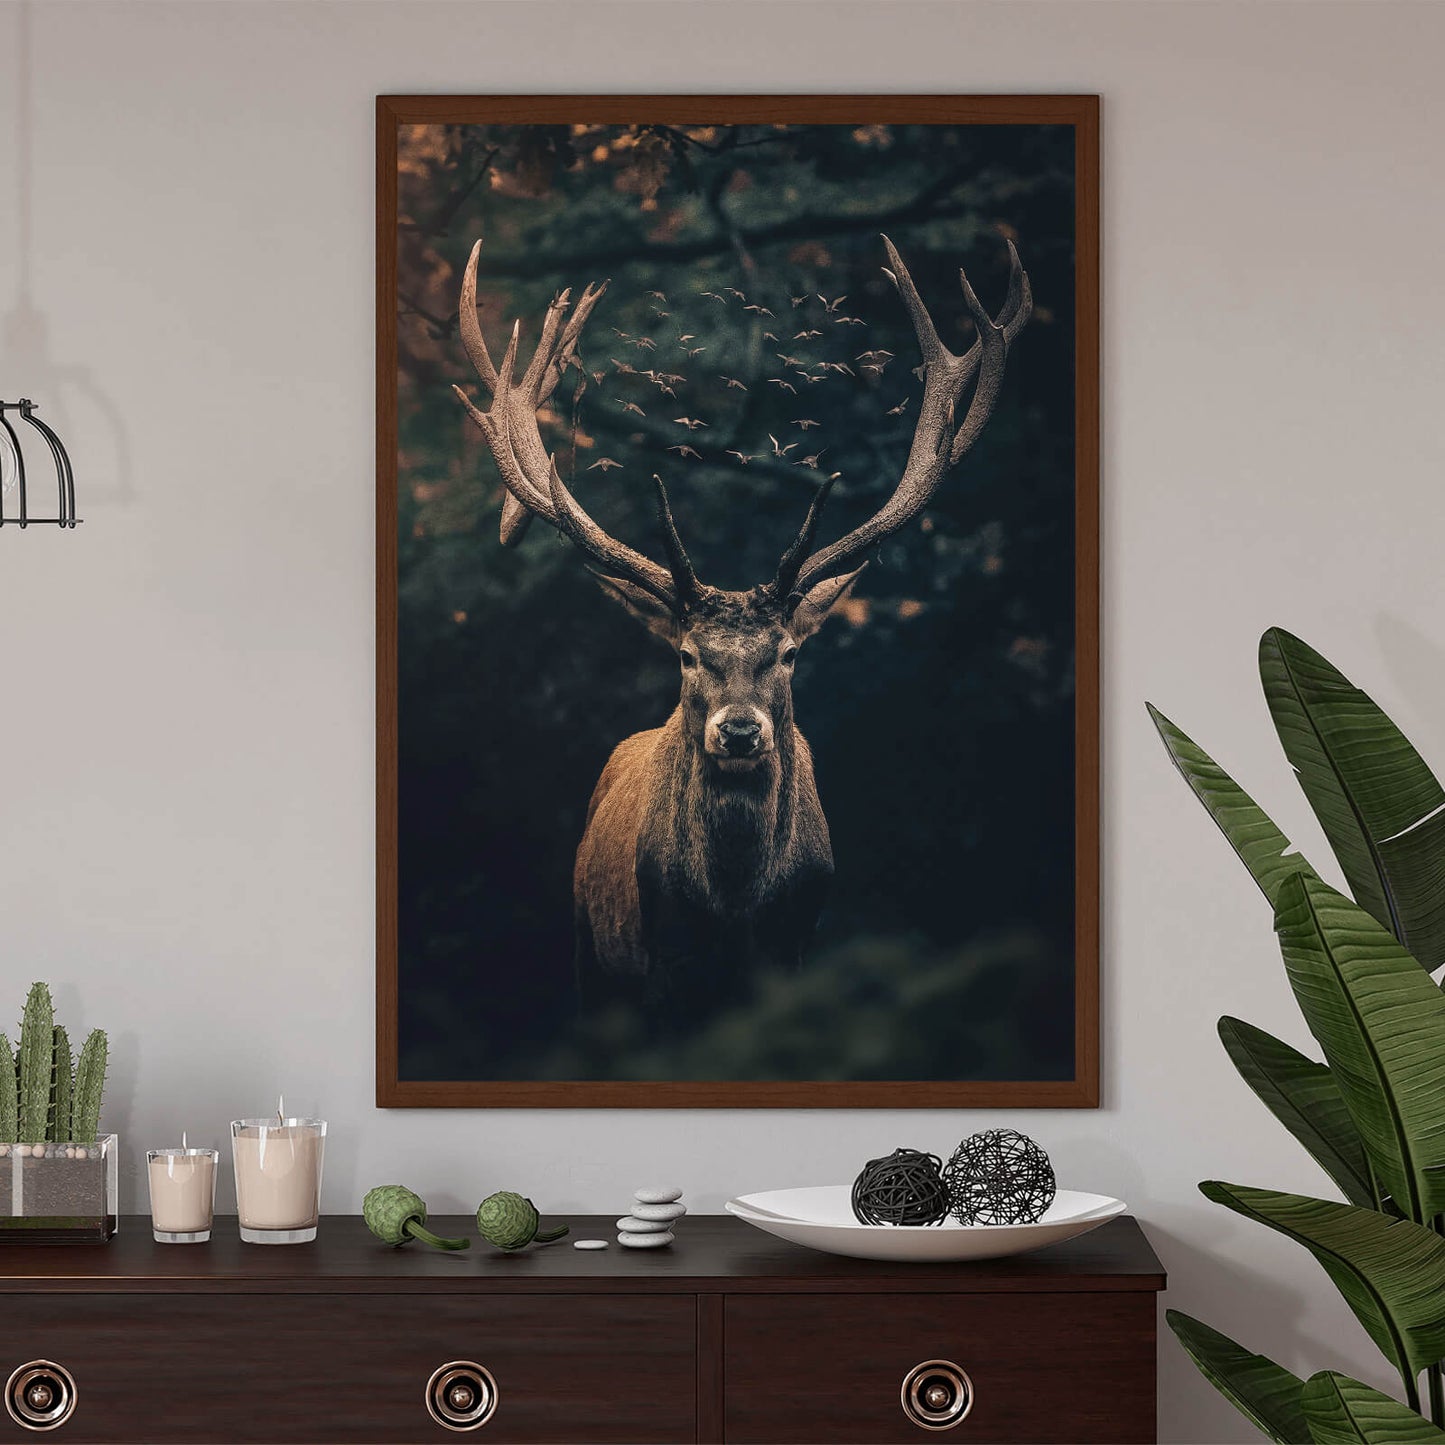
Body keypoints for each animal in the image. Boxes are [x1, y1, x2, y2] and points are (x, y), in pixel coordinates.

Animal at [451, 233, 1030, 1023]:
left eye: (786, 653)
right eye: (687, 655)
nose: (738, 730)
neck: (733, 912)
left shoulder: (796, 945)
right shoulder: (660, 961)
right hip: (588, 948)